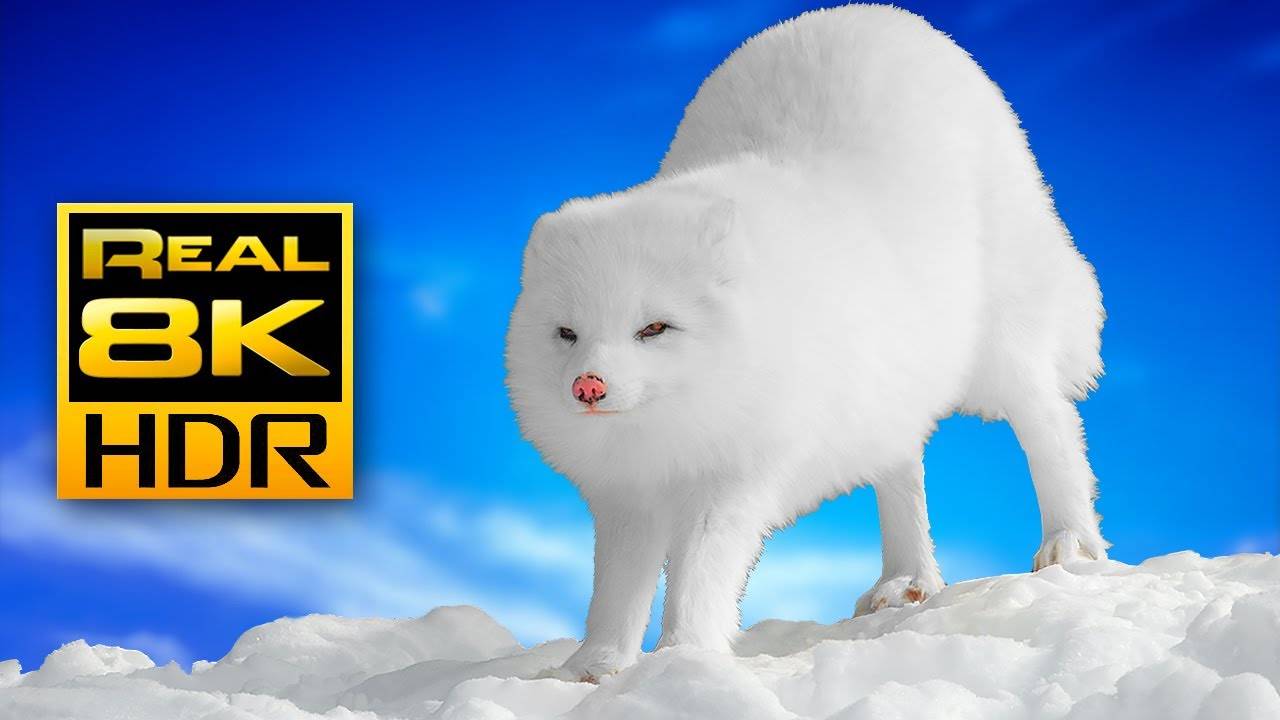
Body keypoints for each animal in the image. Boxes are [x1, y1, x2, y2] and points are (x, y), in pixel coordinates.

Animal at [506, 4, 1108, 681]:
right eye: (567, 334)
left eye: (654, 328)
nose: (587, 386)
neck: (667, 435)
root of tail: (880, 15)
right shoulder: (625, 500)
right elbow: (616, 588)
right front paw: (594, 669)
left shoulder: (734, 481)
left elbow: (700, 574)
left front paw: (684, 657)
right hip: (889, 385)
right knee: (904, 467)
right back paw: (906, 579)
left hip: (1003, 346)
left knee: (1052, 425)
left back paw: (1069, 543)